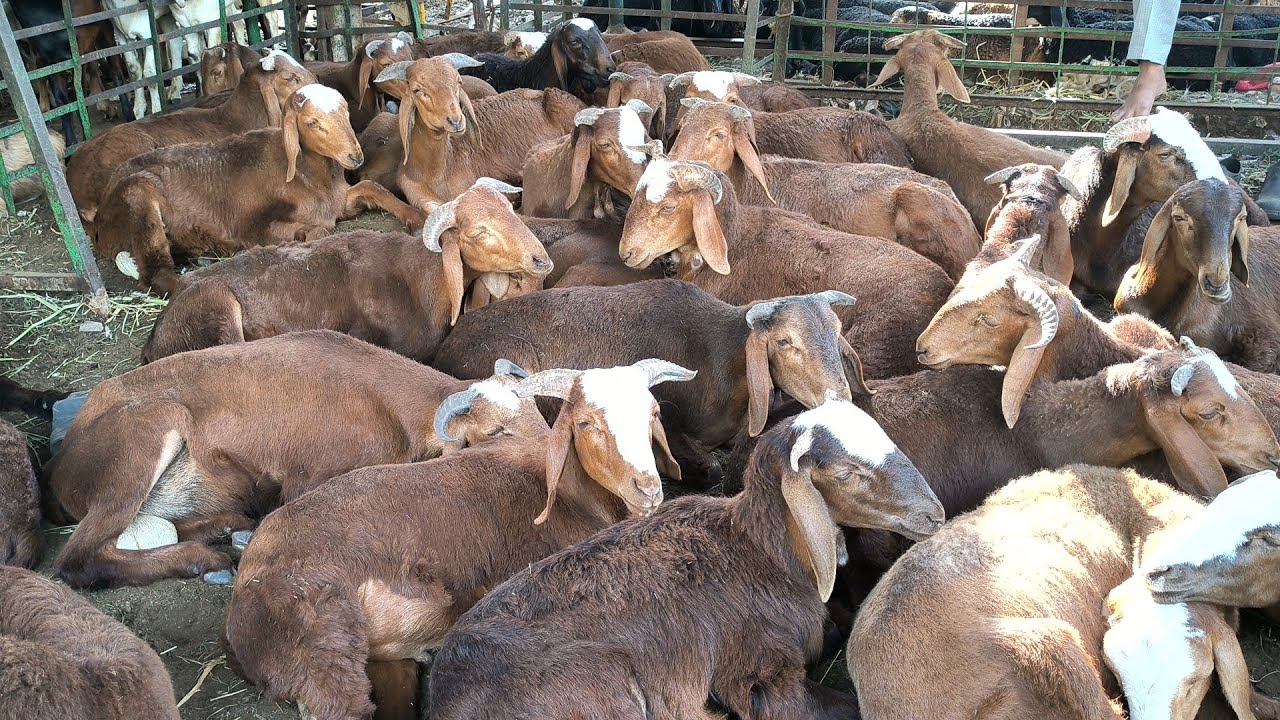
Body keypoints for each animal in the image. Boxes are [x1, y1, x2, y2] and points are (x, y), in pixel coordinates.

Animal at [46, 331, 543, 588]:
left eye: (539, 411)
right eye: (494, 433)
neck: (391, 406)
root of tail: (60, 467)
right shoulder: (309, 477)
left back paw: (224, 528)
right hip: (138, 445)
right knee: (78, 559)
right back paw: (204, 558)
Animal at [94, 84, 418, 295]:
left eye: (346, 113)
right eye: (312, 122)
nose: (355, 156)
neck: (306, 175)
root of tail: (99, 221)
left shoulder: (339, 200)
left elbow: (373, 188)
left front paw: (415, 218)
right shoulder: (251, 228)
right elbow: (317, 231)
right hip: (138, 197)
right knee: (157, 275)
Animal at [141, 179, 549, 363]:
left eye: (510, 210)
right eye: (480, 232)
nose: (541, 259)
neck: (420, 280)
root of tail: (154, 337)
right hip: (217, 311)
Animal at [222, 359, 695, 720]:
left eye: (653, 414)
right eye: (584, 421)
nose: (647, 488)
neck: (565, 491)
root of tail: (245, 584)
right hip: (322, 636)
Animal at [433, 279, 869, 485]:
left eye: (835, 331)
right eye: (784, 341)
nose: (840, 399)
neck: (713, 355)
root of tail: (446, 344)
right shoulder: (672, 424)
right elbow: (708, 469)